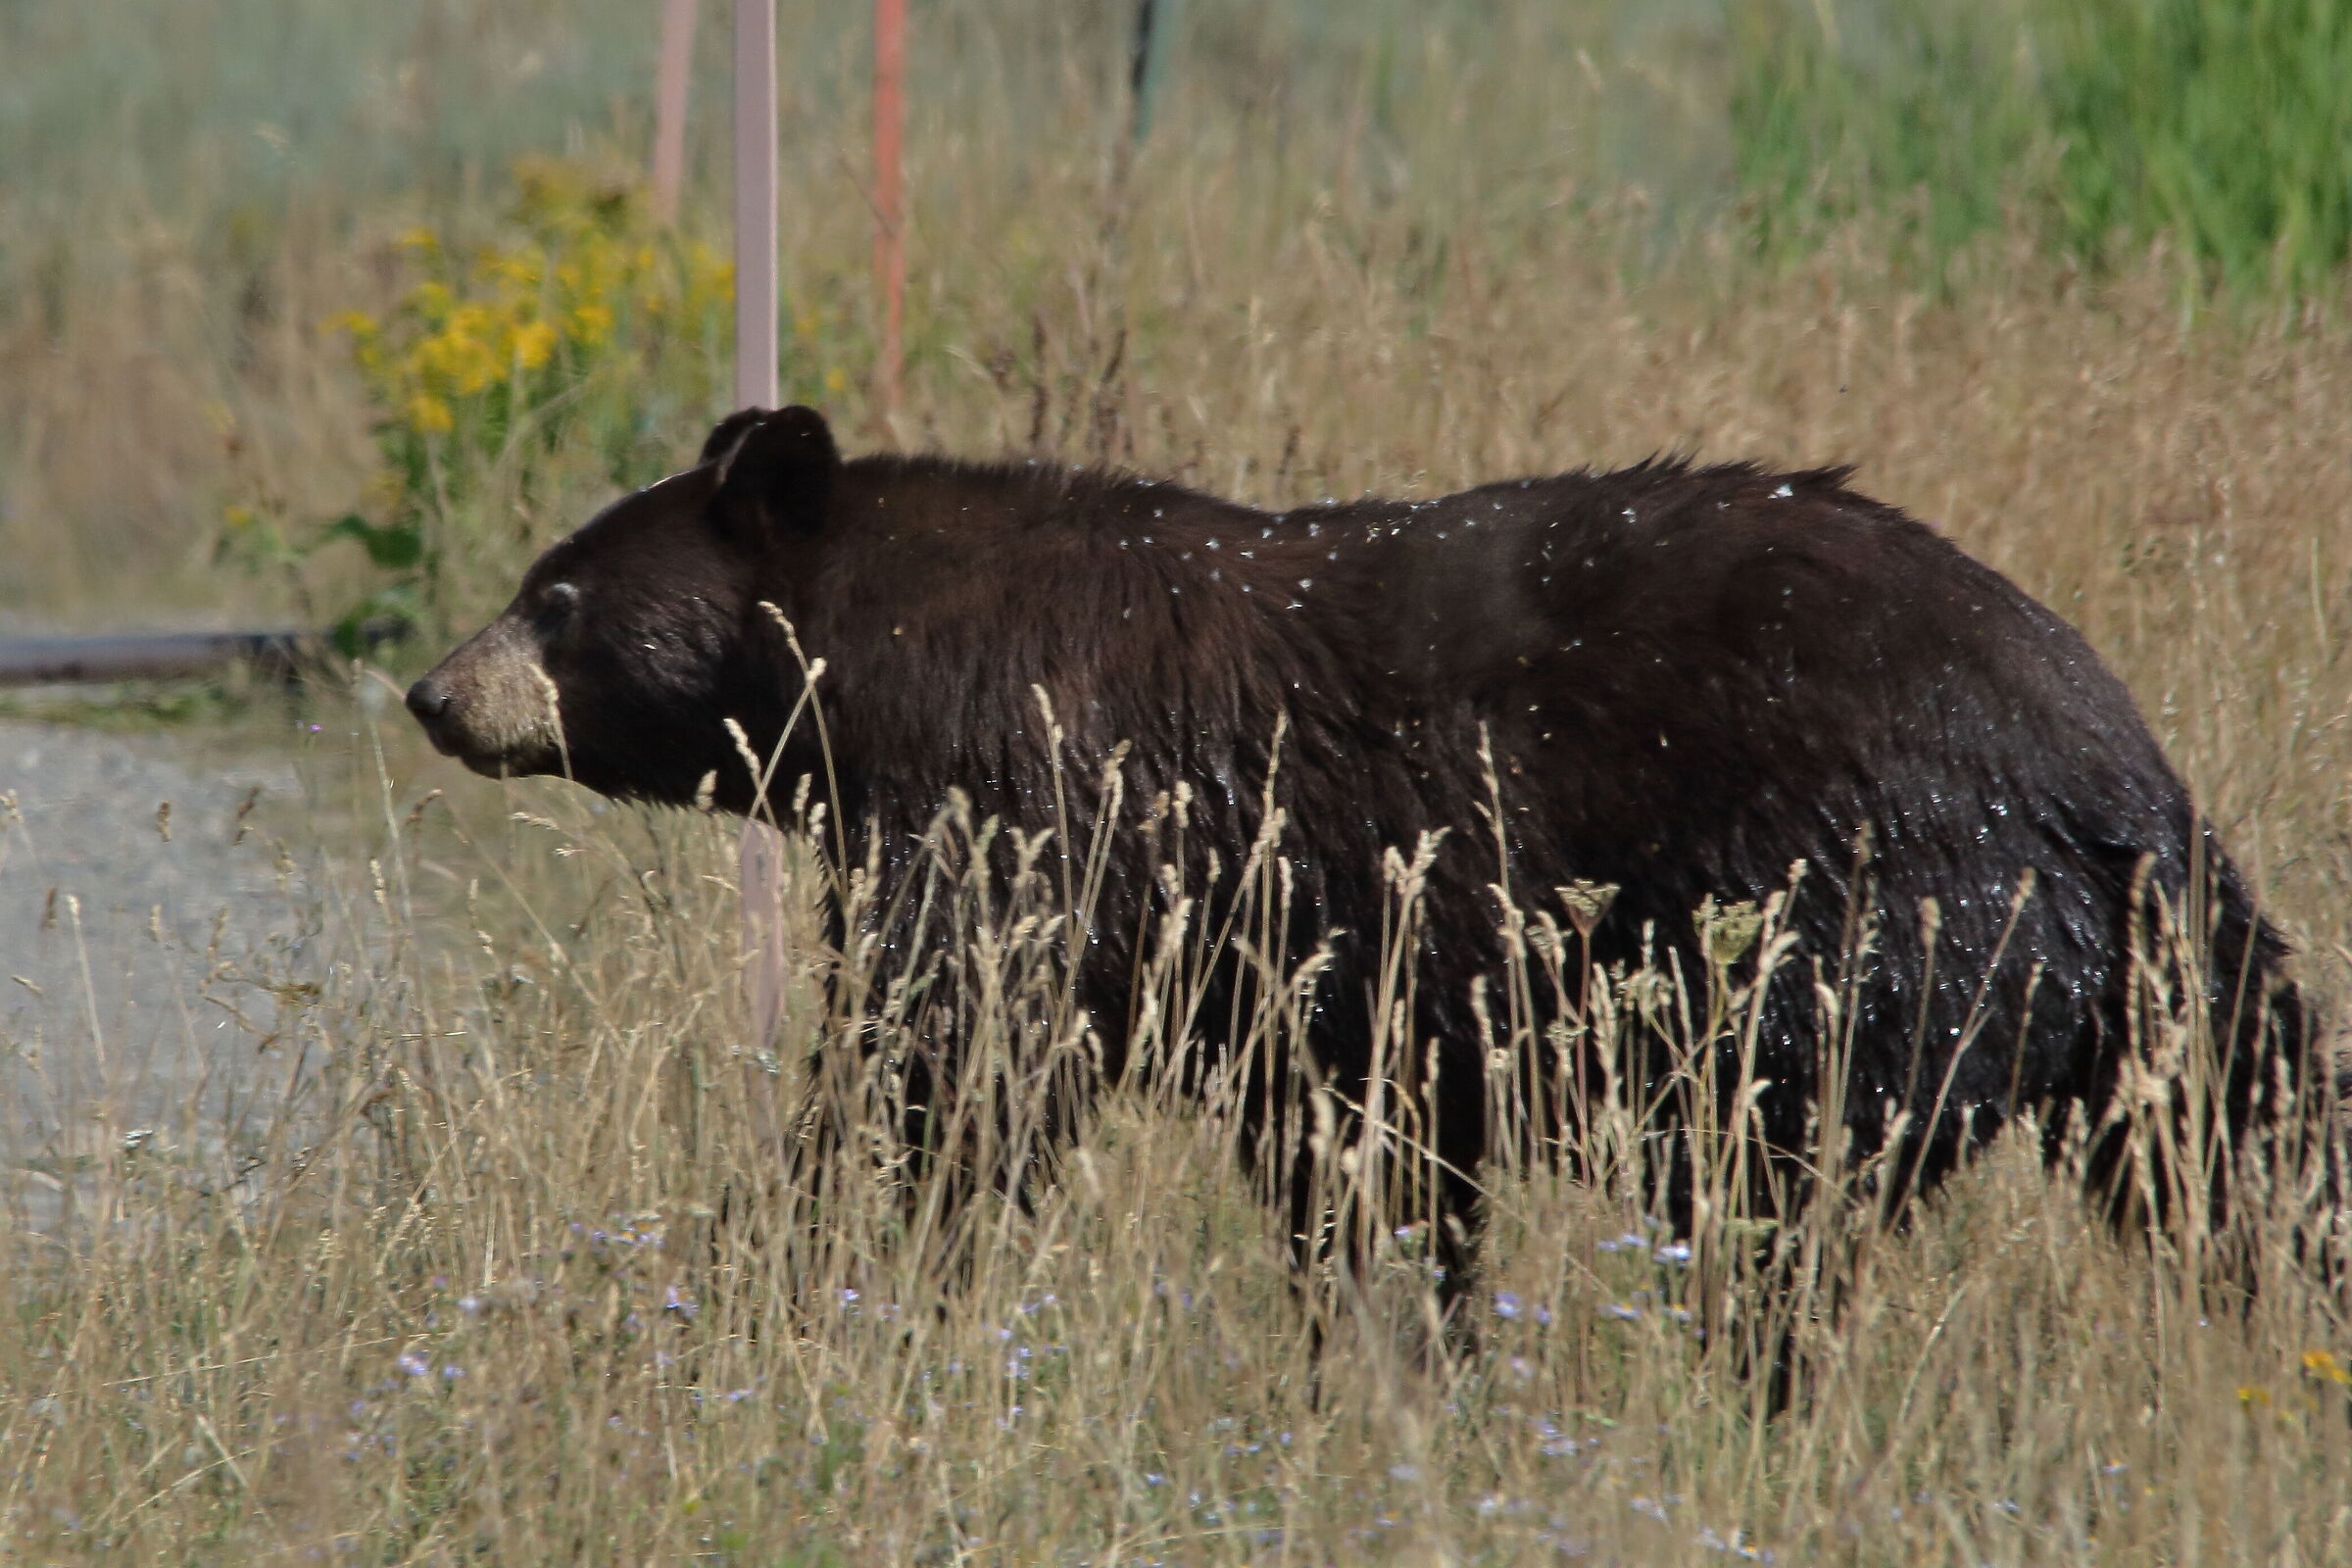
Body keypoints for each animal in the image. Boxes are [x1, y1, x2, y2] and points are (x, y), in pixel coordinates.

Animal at [407, 404, 2312, 1285]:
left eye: (557, 594)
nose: (432, 690)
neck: (894, 653)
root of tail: (2114, 764)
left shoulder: (1033, 808)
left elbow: (953, 1059)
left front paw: (811, 1244)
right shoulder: (1331, 1003)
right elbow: (1364, 1158)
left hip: (1853, 920)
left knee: (1773, 1180)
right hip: (2162, 996)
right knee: (2243, 1167)